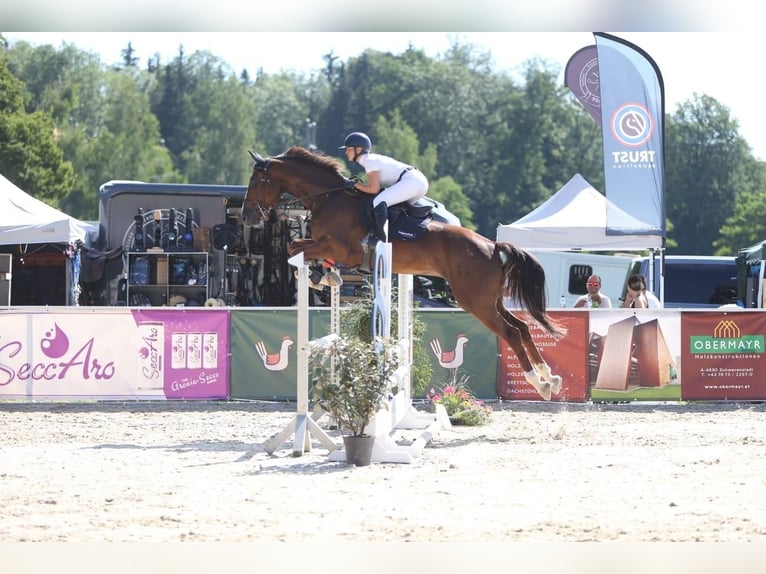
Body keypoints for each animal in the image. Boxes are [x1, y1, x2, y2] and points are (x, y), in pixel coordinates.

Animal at [243, 146, 568, 402]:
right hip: (492, 300)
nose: (247, 216)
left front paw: (316, 276)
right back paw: (550, 377)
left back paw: (538, 383)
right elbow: (303, 250)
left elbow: (296, 247)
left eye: (257, 180)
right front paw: (326, 276)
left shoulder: (339, 247)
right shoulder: (329, 247)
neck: (329, 198)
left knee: (511, 332)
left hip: (475, 302)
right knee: (522, 327)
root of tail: (492, 246)